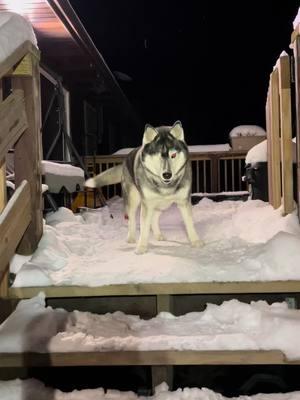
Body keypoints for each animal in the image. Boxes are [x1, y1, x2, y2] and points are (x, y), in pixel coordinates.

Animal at [85, 120, 202, 255]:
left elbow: (189, 223)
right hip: (134, 200)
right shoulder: (147, 203)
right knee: (132, 220)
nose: (167, 174)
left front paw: (196, 241)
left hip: (162, 205)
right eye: (158, 156)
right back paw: (131, 238)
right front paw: (141, 247)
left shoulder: (183, 201)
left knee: (154, 218)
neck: (164, 185)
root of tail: (126, 159)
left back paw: (158, 235)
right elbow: (144, 227)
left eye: (173, 155)